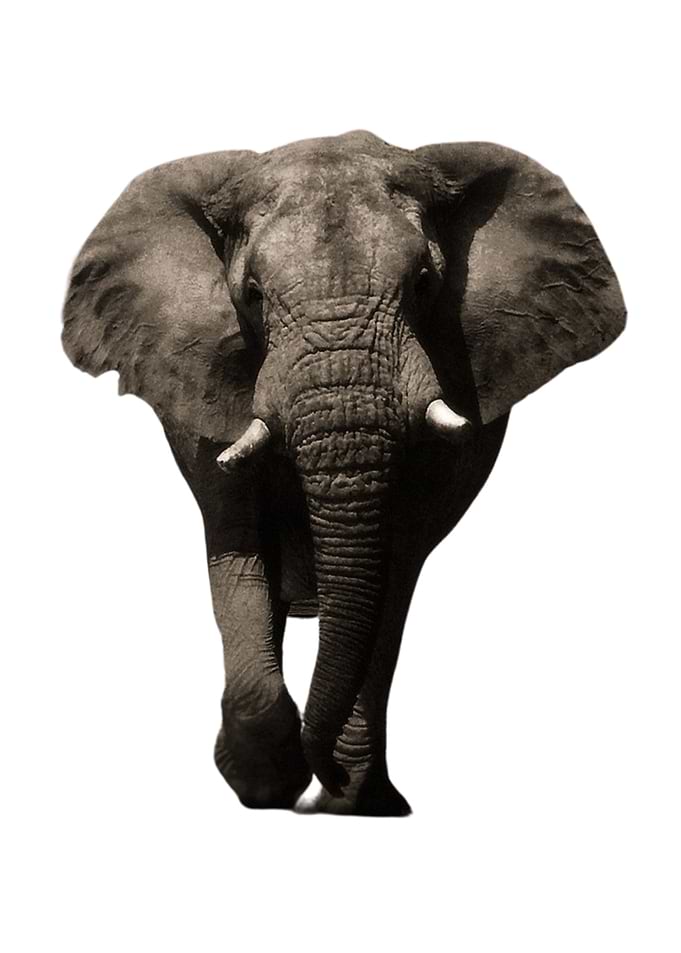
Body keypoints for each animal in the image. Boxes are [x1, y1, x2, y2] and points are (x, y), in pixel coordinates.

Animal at [62, 130, 625, 816]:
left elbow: (393, 565)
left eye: (425, 283)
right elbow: (238, 544)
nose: (321, 775)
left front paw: (348, 795)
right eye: (252, 294)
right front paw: (264, 782)